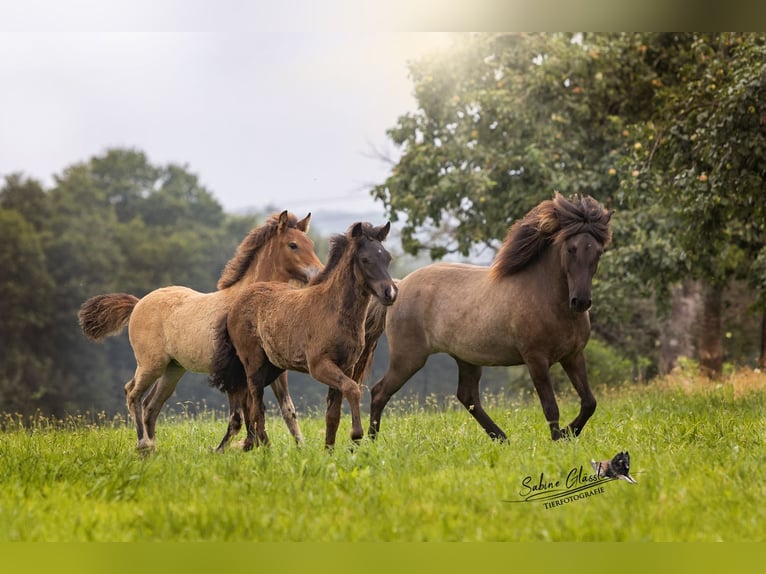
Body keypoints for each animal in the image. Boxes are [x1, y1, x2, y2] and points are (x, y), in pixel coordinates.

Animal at [75, 212, 320, 454]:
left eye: (311, 244)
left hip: (173, 370)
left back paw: (152, 449)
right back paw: (143, 444)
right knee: (132, 393)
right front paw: (241, 447)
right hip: (151, 365)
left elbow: (287, 410)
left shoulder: (272, 371)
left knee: (150, 405)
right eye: (293, 245)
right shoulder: (239, 371)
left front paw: (301, 448)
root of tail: (137, 304)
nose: (318, 274)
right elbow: (245, 414)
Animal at [213, 220, 400, 450]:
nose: (390, 292)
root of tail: (237, 302)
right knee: (256, 408)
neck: (332, 309)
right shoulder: (319, 366)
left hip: (272, 367)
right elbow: (353, 388)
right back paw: (264, 449)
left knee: (252, 406)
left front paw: (329, 451)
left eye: (388, 258)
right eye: (365, 259)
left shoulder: (346, 366)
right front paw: (356, 435)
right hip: (254, 364)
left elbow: (333, 415)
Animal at [368, 196, 616, 444]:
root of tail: (399, 285)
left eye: (599, 251)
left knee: (467, 396)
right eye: (571, 249)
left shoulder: (573, 356)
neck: (547, 298)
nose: (580, 302)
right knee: (379, 391)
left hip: (465, 358)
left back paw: (502, 438)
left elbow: (589, 402)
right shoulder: (536, 359)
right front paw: (559, 439)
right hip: (408, 358)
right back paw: (369, 441)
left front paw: (567, 433)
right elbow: (550, 408)